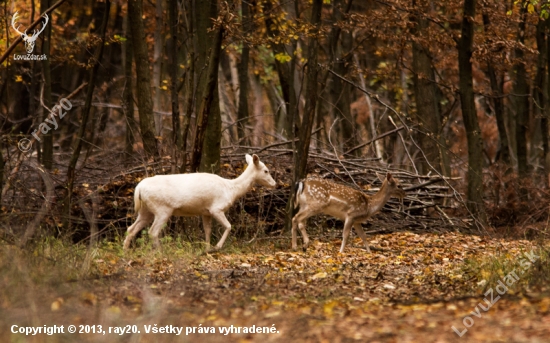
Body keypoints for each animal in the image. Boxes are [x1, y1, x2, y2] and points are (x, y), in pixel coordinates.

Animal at [126, 155, 280, 250]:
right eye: (266, 170)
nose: (275, 184)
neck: (231, 189)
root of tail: (139, 188)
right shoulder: (216, 208)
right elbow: (229, 226)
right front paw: (217, 247)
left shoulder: (205, 212)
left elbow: (207, 231)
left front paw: (206, 248)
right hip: (162, 209)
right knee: (152, 231)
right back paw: (160, 251)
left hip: (146, 210)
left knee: (131, 229)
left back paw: (126, 251)